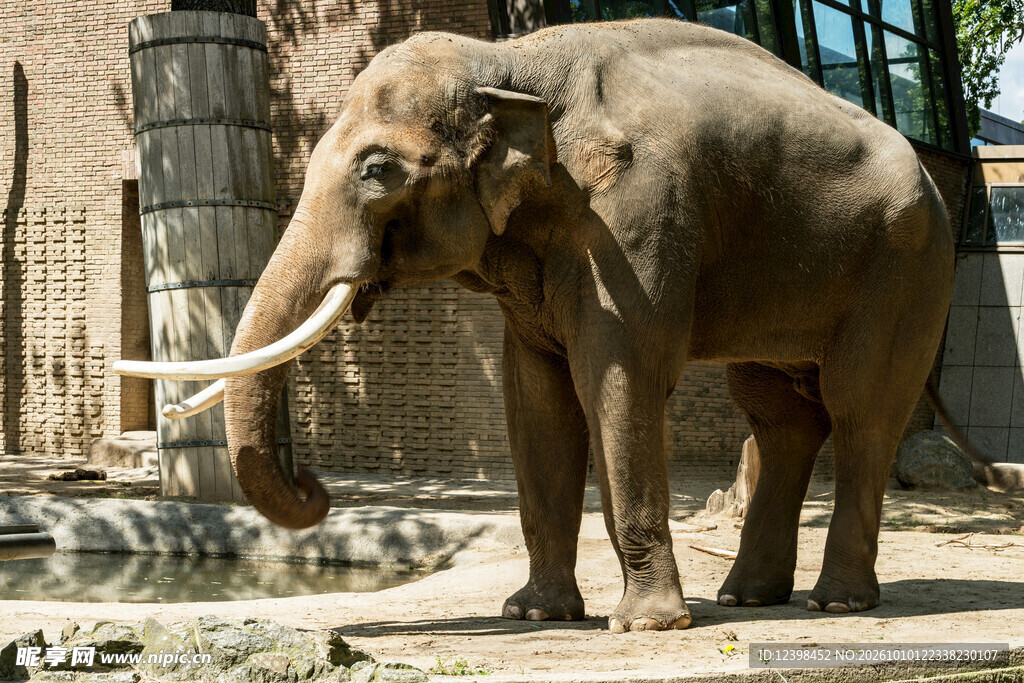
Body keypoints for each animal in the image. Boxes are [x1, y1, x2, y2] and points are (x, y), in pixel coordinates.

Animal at [116, 17, 956, 632]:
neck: (510, 63)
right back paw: (748, 598)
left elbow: (618, 377)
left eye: (377, 171)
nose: (316, 488)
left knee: (860, 408)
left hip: (906, 263)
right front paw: (534, 614)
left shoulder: (636, 217)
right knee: (777, 410)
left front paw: (645, 626)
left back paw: (837, 601)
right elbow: (537, 397)